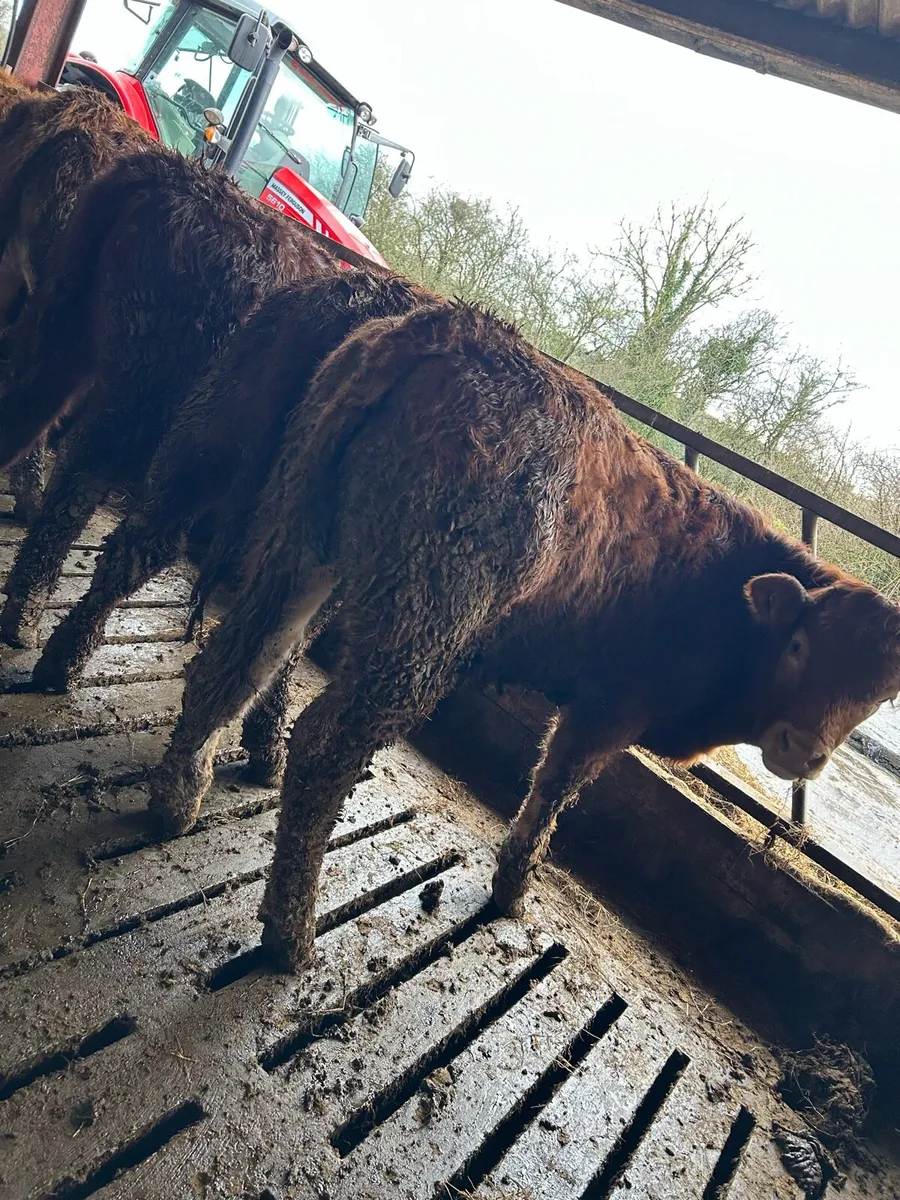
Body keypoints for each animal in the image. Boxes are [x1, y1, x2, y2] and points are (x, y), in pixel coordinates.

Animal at [136, 298, 900, 972]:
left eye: (879, 700)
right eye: (800, 646)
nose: (804, 751)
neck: (725, 593)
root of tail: (447, 330)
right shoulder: (608, 709)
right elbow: (553, 793)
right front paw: (512, 890)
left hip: (299, 542)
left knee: (235, 661)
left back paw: (177, 801)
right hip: (423, 624)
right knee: (326, 745)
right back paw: (290, 936)